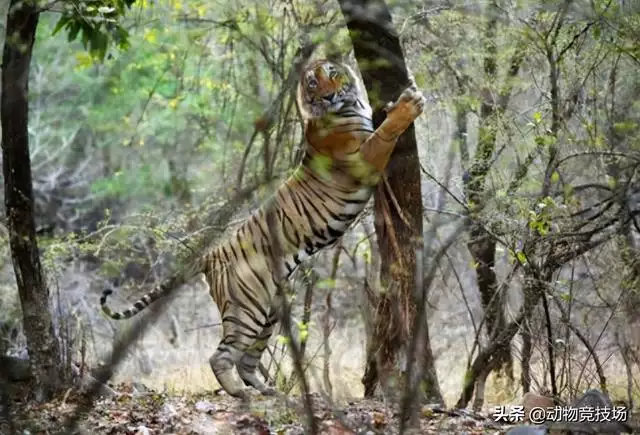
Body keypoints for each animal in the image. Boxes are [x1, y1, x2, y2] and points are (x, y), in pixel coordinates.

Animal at [101, 59, 424, 400]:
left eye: (332, 74)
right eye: (312, 83)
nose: (328, 96)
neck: (349, 104)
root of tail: (209, 256)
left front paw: (402, 96)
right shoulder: (363, 158)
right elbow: (385, 132)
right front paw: (408, 105)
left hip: (268, 312)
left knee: (247, 360)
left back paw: (267, 389)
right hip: (247, 309)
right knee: (221, 355)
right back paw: (237, 392)